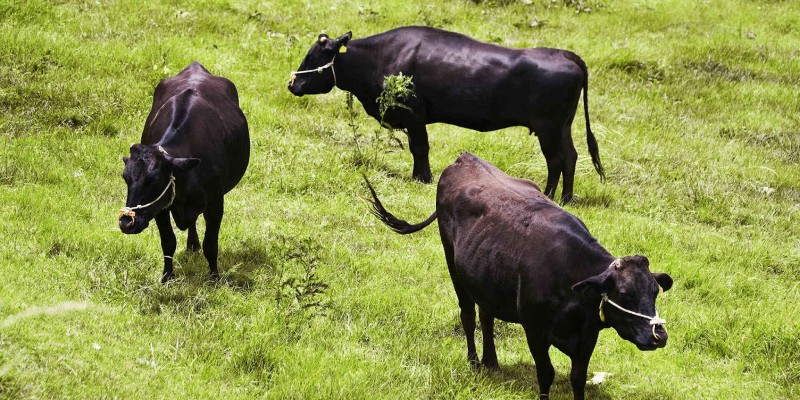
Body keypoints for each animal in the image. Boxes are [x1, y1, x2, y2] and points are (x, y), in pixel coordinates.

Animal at [119, 61, 248, 282]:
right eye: (125, 178)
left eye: (154, 180)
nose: (127, 223)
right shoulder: (161, 207)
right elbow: (168, 242)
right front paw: (167, 277)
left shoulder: (216, 202)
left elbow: (211, 244)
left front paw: (214, 277)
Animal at [288, 26, 600, 203]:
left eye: (313, 56)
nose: (292, 84)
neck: (376, 58)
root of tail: (565, 54)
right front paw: (418, 176)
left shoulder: (414, 114)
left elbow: (420, 147)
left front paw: (423, 178)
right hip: (561, 127)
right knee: (570, 156)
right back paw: (566, 198)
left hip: (548, 127)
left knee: (556, 159)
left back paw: (551, 196)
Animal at [366, 152, 672, 398]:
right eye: (624, 294)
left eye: (655, 292)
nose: (659, 337)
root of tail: (465, 158)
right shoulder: (534, 329)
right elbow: (546, 374)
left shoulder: (587, 335)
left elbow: (578, 378)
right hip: (452, 264)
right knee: (468, 315)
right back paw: (474, 363)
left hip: (485, 279)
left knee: (486, 317)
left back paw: (491, 362)